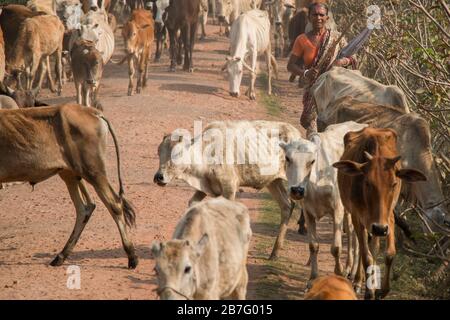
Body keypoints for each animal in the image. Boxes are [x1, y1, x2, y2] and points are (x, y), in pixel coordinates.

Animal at [0, 104, 137, 268]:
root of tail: (93, 112)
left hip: (93, 171)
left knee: (114, 204)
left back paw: (132, 256)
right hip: (70, 174)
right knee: (84, 208)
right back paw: (61, 256)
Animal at [280, 121, 368, 286]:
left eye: (312, 161)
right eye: (287, 158)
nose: (296, 190)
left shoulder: (337, 210)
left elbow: (336, 248)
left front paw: (339, 273)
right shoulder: (308, 212)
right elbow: (313, 246)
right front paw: (312, 279)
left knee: (359, 238)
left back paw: (357, 277)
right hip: (348, 211)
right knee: (352, 233)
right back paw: (349, 269)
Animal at [334, 127, 426, 300]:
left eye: (394, 183)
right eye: (367, 182)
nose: (380, 228)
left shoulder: (388, 218)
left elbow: (389, 254)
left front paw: (382, 290)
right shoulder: (358, 217)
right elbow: (366, 255)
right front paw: (368, 291)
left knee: (374, 246)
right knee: (362, 246)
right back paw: (358, 281)